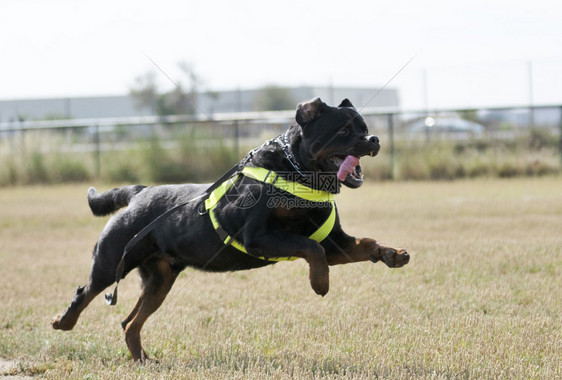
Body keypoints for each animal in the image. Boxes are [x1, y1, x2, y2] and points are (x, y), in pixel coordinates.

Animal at [52, 96, 410, 360]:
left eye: (365, 127)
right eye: (344, 130)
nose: (374, 139)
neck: (298, 174)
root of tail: (139, 193)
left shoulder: (336, 243)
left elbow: (363, 243)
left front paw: (392, 254)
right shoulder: (258, 237)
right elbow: (312, 248)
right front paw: (319, 282)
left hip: (160, 279)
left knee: (129, 322)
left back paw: (142, 359)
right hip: (111, 260)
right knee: (86, 292)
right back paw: (64, 321)